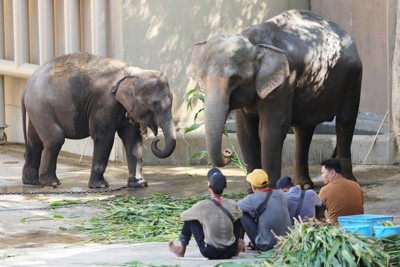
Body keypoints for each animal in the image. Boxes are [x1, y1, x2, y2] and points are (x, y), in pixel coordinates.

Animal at [21, 52, 176, 189]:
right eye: (155, 104)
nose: (157, 139)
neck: (132, 73)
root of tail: (27, 85)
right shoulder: (104, 102)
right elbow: (104, 137)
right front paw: (100, 186)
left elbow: (132, 139)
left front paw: (139, 184)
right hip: (42, 106)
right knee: (55, 139)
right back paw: (52, 183)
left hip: (36, 109)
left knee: (36, 142)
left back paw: (31, 182)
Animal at [191, 8, 362, 188]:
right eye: (201, 77)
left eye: (234, 78)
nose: (228, 152)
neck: (253, 42)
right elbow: (245, 133)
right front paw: (252, 190)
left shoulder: (284, 84)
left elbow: (271, 129)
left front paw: (269, 187)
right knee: (304, 129)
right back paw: (303, 185)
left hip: (353, 75)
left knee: (345, 120)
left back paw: (348, 181)